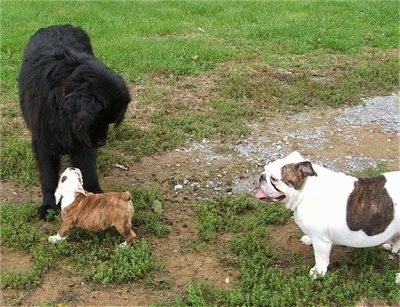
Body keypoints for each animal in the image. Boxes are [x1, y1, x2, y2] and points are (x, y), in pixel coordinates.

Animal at [18, 25, 130, 220]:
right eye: (97, 120)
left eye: (109, 121)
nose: (102, 142)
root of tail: (57, 25)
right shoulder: (44, 140)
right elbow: (48, 176)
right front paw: (49, 205)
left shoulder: (83, 141)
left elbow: (89, 170)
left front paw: (96, 196)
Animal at [256, 151, 400, 282]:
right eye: (265, 169)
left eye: (274, 179)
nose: (261, 177)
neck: (305, 190)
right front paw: (308, 239)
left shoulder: (321, 242)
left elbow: (320, 258)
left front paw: (318, 272)